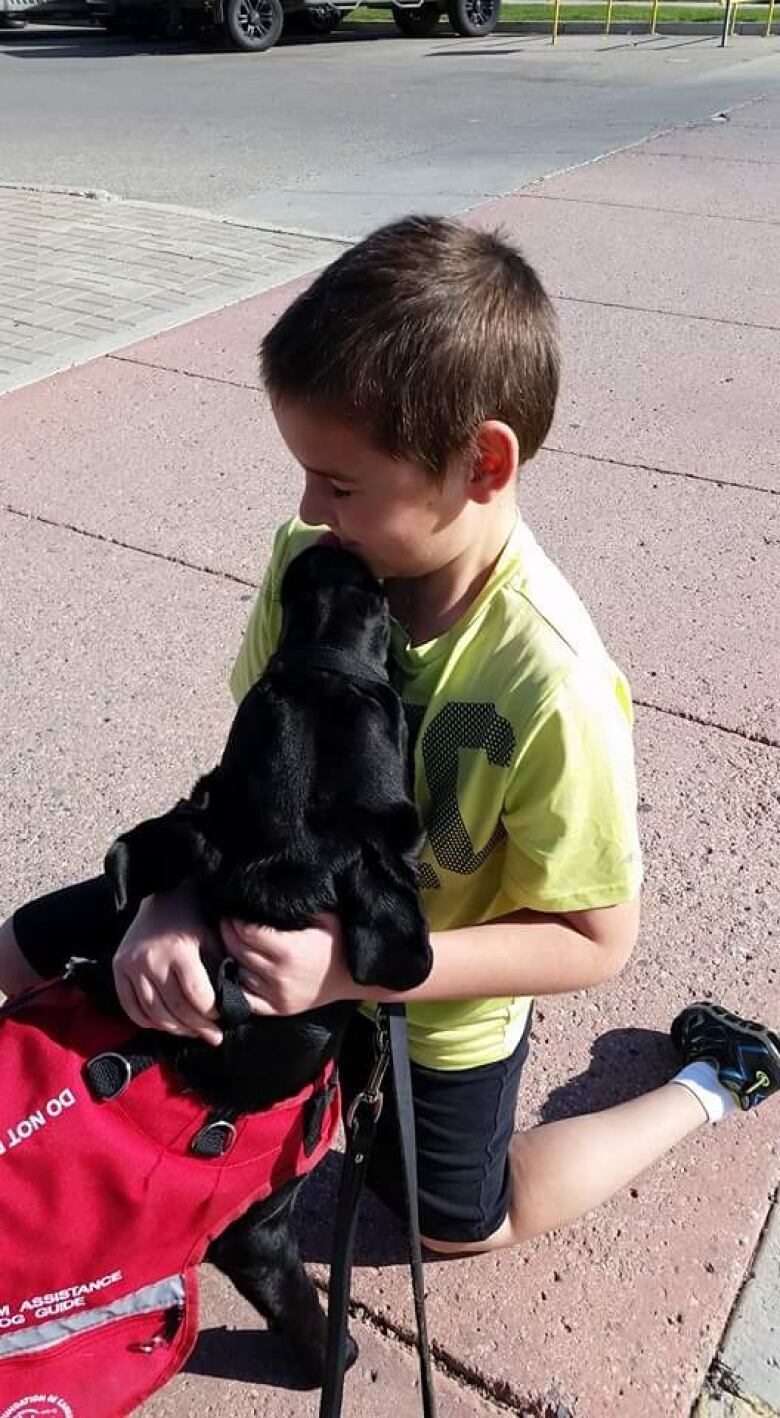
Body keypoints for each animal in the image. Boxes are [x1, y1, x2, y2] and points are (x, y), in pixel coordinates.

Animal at [97, 544, 433, 1383]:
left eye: (268, 680)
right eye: (387, 708)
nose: (335, 561)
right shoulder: (256, 1235)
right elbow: (312, 1321)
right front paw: (337, 1355)